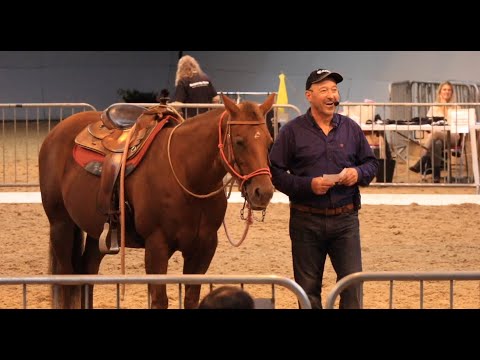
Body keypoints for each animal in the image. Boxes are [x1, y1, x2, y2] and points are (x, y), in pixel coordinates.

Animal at [39, 93, 276, 310]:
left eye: (269, 142)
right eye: (239, 141)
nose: (263, 192)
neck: (187, 175)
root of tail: (57, 131)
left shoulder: (204, 249)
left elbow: (191, 299)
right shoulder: (156, 247)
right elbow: (159, 300)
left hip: (98, 232)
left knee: (88, 272)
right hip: (60, 224)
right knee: (69, 278)